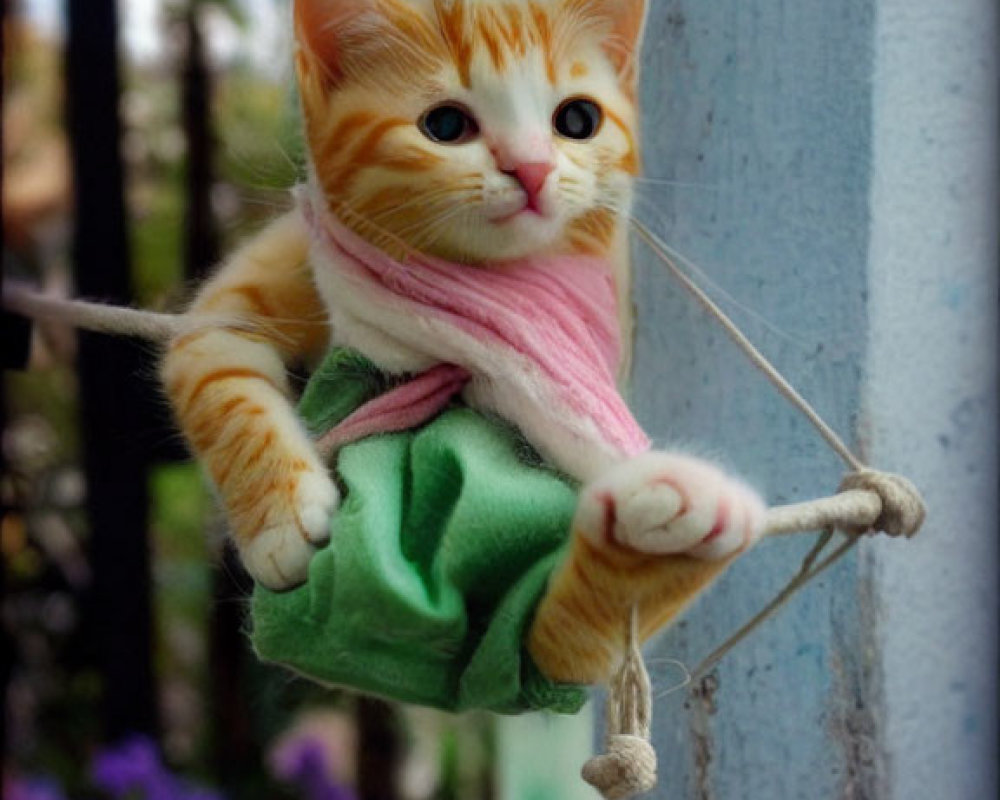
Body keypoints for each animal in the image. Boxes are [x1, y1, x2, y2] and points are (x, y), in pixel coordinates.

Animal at [162, 1, 764, 688]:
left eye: (577, 120)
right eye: (445, 125)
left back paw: (674, 521)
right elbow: (216, 373)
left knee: (552, 649)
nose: (531, 168)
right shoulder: (249, 292)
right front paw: (280, 523)